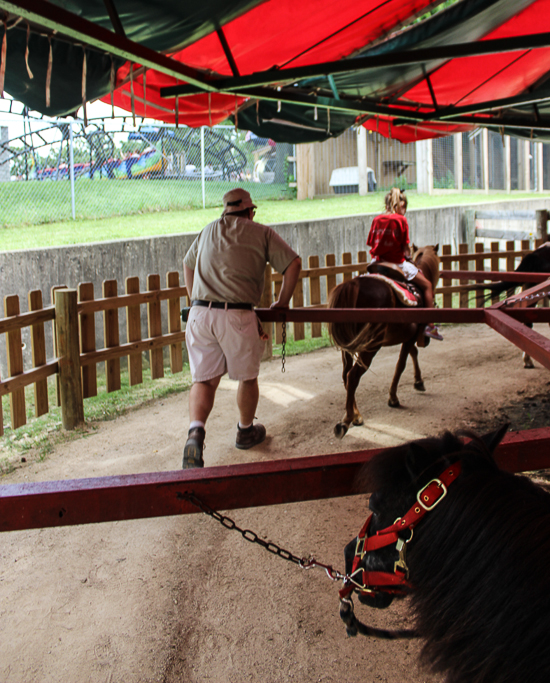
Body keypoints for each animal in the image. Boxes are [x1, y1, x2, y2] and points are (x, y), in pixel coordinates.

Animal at [328, 246, 440, 438]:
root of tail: (353, 285)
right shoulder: (410, 337)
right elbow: (401, 364)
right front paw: (393, 398)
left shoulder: (407, 336)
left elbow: (413, 354)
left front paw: (418, 381)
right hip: (370, 346)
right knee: (353, 376)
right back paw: (346, 421)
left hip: (348, 346)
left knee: (346, 375)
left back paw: (356, 415)